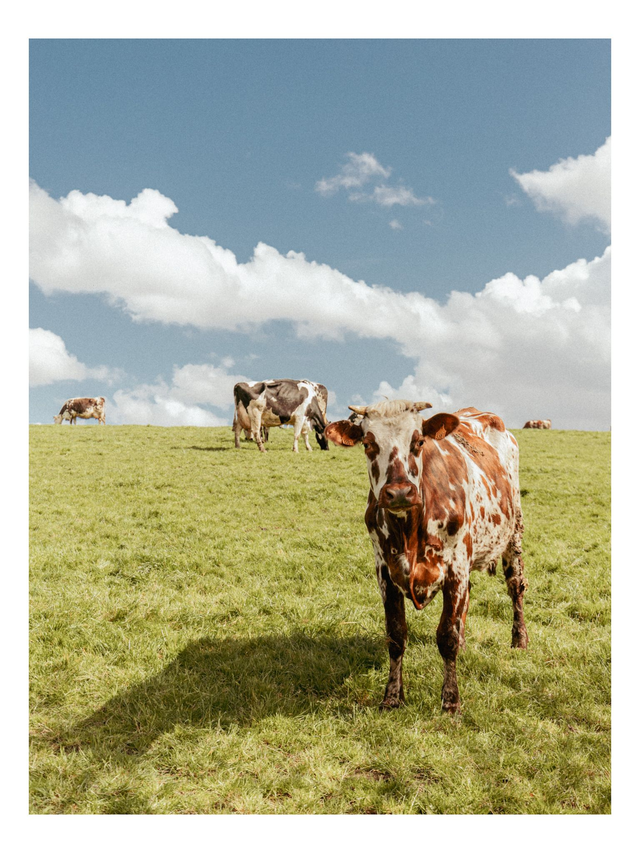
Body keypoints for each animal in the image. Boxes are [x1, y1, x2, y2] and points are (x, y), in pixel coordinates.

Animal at [325, 400, 528, 714]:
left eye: (419, 441)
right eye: (368, 444)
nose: (399, 492)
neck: (409, 530)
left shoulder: (455, 569)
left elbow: (446, 637)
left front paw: (451, 701)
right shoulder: (384, 572)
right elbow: (396, 636)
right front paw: (392, 697)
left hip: (513, 531)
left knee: (516, 586)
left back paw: (519, 639)